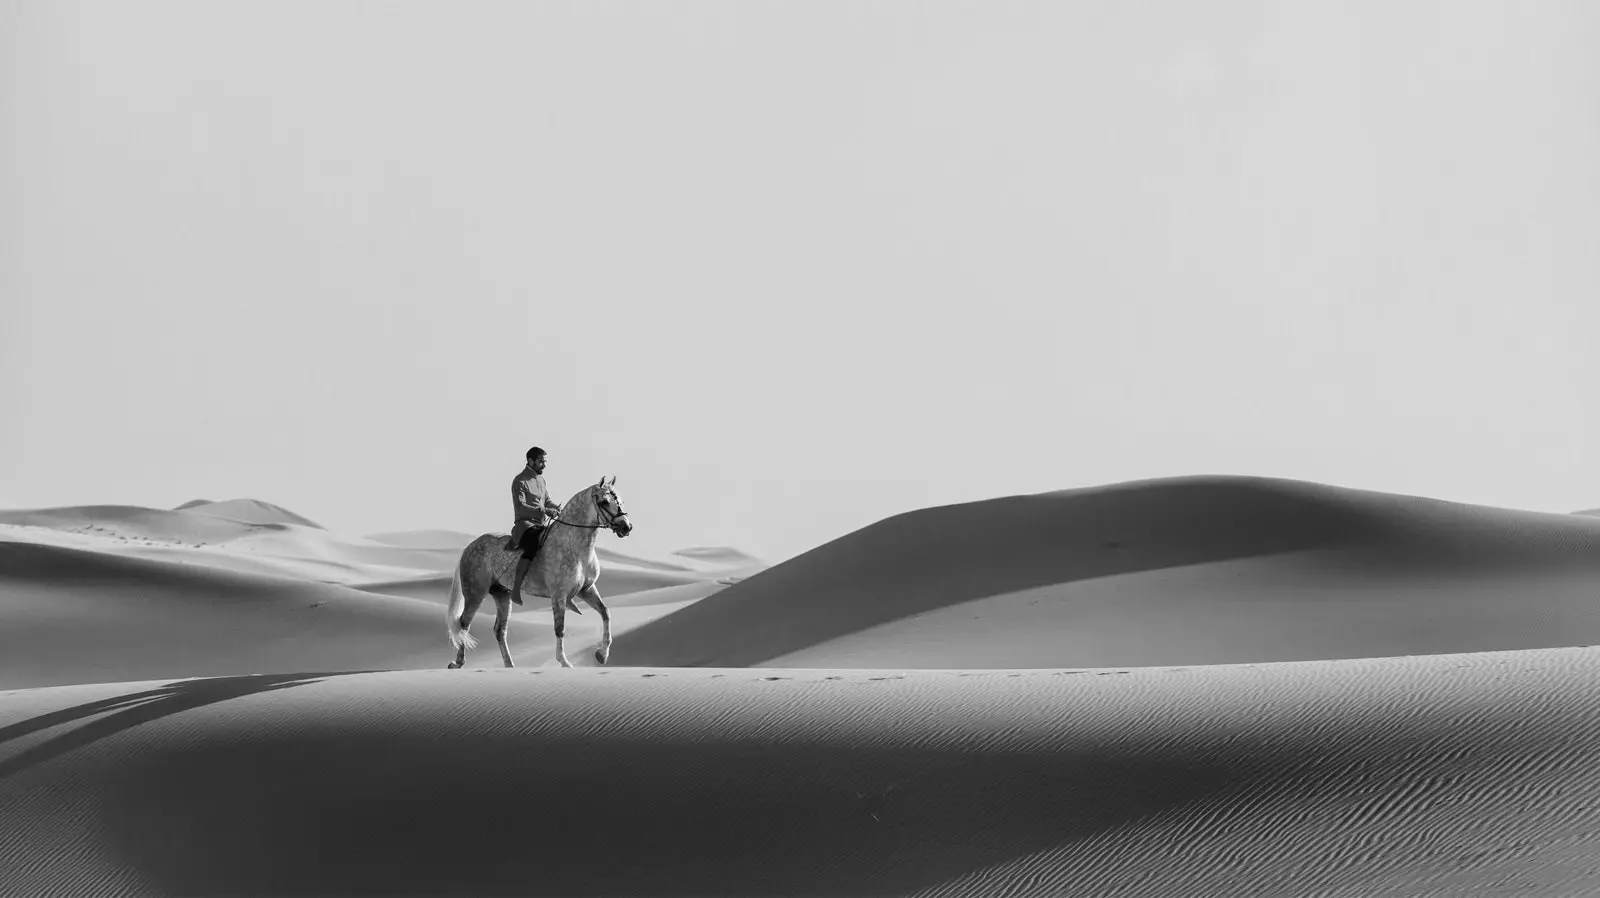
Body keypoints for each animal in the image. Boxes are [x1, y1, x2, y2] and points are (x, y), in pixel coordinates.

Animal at [448, 473, 633, 669]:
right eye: (604, 502)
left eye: (620, 501)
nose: (626, 527)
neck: (573, 546)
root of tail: (469, 547)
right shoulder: (559, 595)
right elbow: (560, 628)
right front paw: (564, 661)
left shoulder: (587, 589)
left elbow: (605, 613)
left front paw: (602, 654)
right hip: (475, 593)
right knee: (463, 624)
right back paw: (458, 663)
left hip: (502, 594)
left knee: (499, 630)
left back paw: (509, 665)